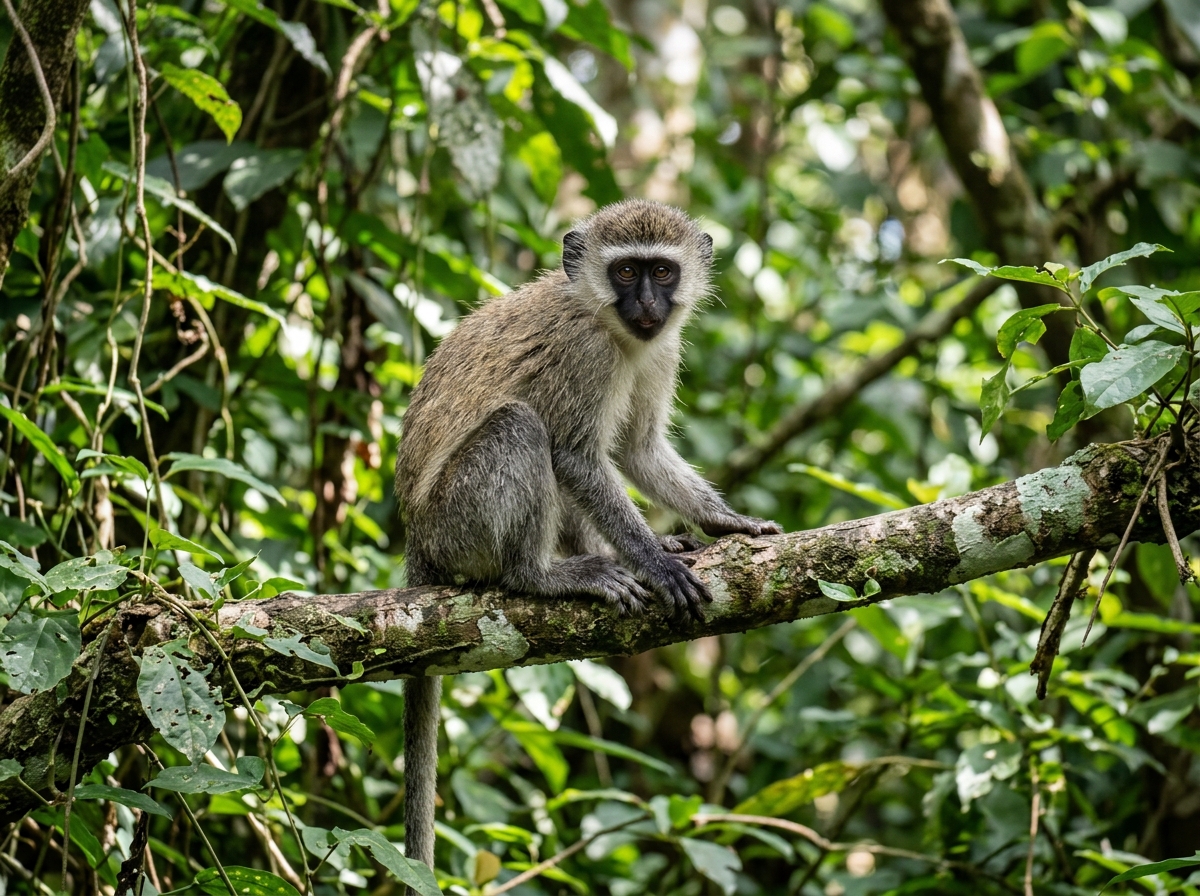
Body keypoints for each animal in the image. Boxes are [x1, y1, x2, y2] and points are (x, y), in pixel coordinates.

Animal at [393, 199, 782, 883]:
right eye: (626, 271)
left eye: (662, 270)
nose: (648, 304)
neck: (610, 324)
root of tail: (418, 537)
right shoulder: (585, 354)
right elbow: (576, 457)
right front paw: (655, 563)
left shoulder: (661, 348)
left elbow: (638, 450)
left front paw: (723, 523)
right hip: (456, 521)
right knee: (523, 427)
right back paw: (545, 574)